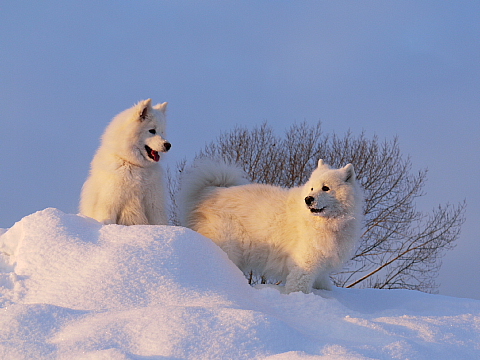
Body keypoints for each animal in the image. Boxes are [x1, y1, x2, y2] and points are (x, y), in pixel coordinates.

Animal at [178, 159, 362, 294]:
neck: (326, 222)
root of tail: (210, 192)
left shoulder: (322, 265)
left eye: (326, 188)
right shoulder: (305, 264)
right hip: (228, 247)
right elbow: (298, 287)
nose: (308, 199)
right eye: (311, 188)